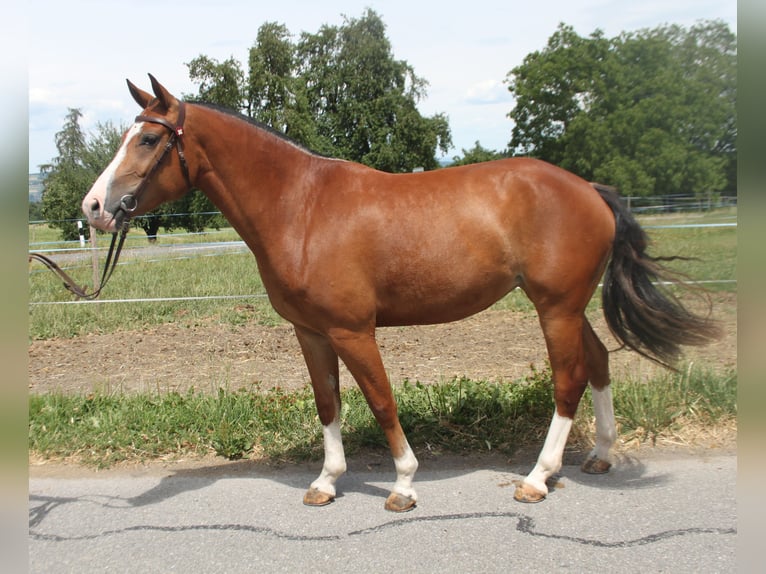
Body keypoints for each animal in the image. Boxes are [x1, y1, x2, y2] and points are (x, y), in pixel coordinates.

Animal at [81, 75, 719, 511]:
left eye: (147, 139)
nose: (93, 207)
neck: (301, 207)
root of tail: (588, 188)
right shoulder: (311, 333)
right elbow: (329, 404)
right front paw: (325, 482)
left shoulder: (352, 331)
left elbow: (382, 400)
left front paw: (405, 484)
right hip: (566, 306)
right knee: (600, 362)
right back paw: (601, 456)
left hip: (555, 308)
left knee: (569, 381)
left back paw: (537, 478)